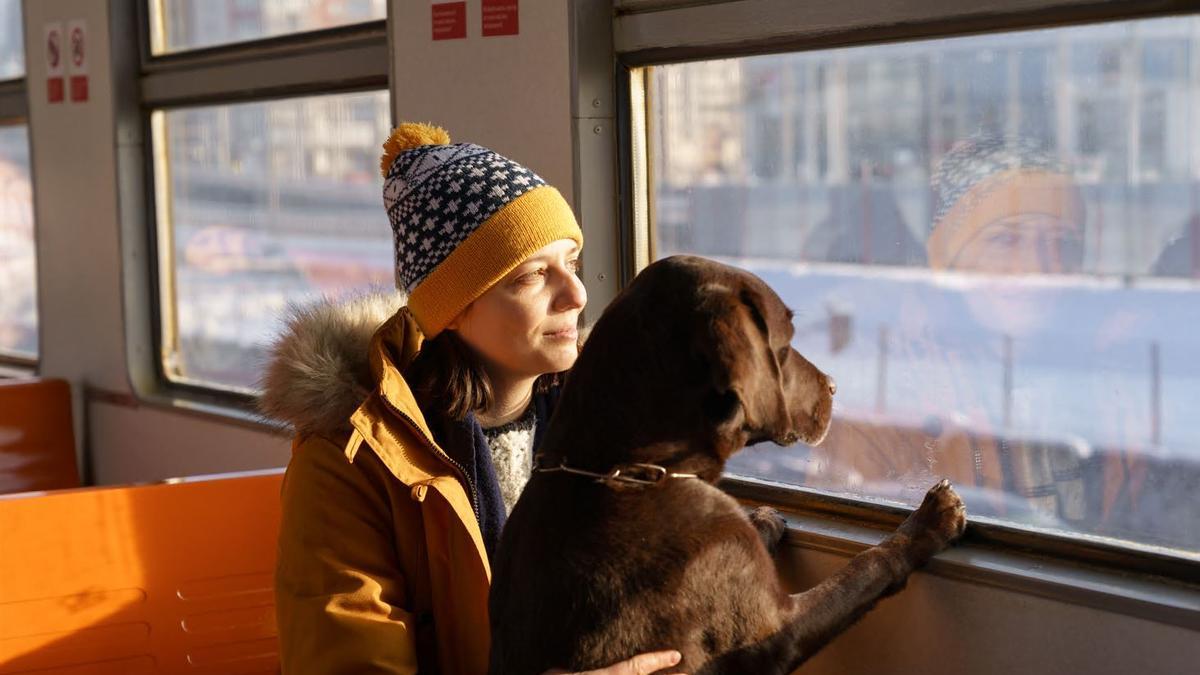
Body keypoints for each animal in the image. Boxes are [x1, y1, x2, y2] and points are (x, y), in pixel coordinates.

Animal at [487, 254, 964, 667]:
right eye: (786, 342)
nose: (834, 386)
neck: (623, 468)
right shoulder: (779, 626)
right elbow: (866, 567)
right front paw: (929, 521)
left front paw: (764, 519)